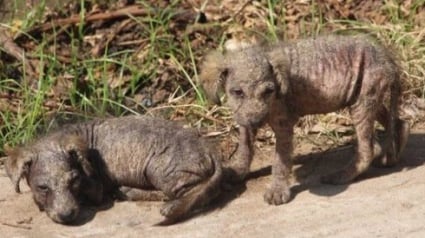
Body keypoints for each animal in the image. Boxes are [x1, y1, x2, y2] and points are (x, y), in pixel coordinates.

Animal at [4, 115, 222, 223]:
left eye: (74, 181)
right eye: (42, 187)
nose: (67, 216)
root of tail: (210, 149)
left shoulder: (96, 188)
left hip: (159, 167)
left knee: (197, 191)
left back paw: (171, 206)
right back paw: (128, 191)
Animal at [200, 34, 410, 205]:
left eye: (268, 92)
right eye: (237, 92)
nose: (255, 121)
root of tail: (388, 58)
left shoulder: (284, 125)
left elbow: (281, 161)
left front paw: (277, 191)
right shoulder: (244, 119)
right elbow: (245, 147)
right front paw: (237, 172)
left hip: (364, 98)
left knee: (367, 149)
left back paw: (341, 176)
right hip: (364, 95)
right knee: (398, 122)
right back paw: (392, 154)